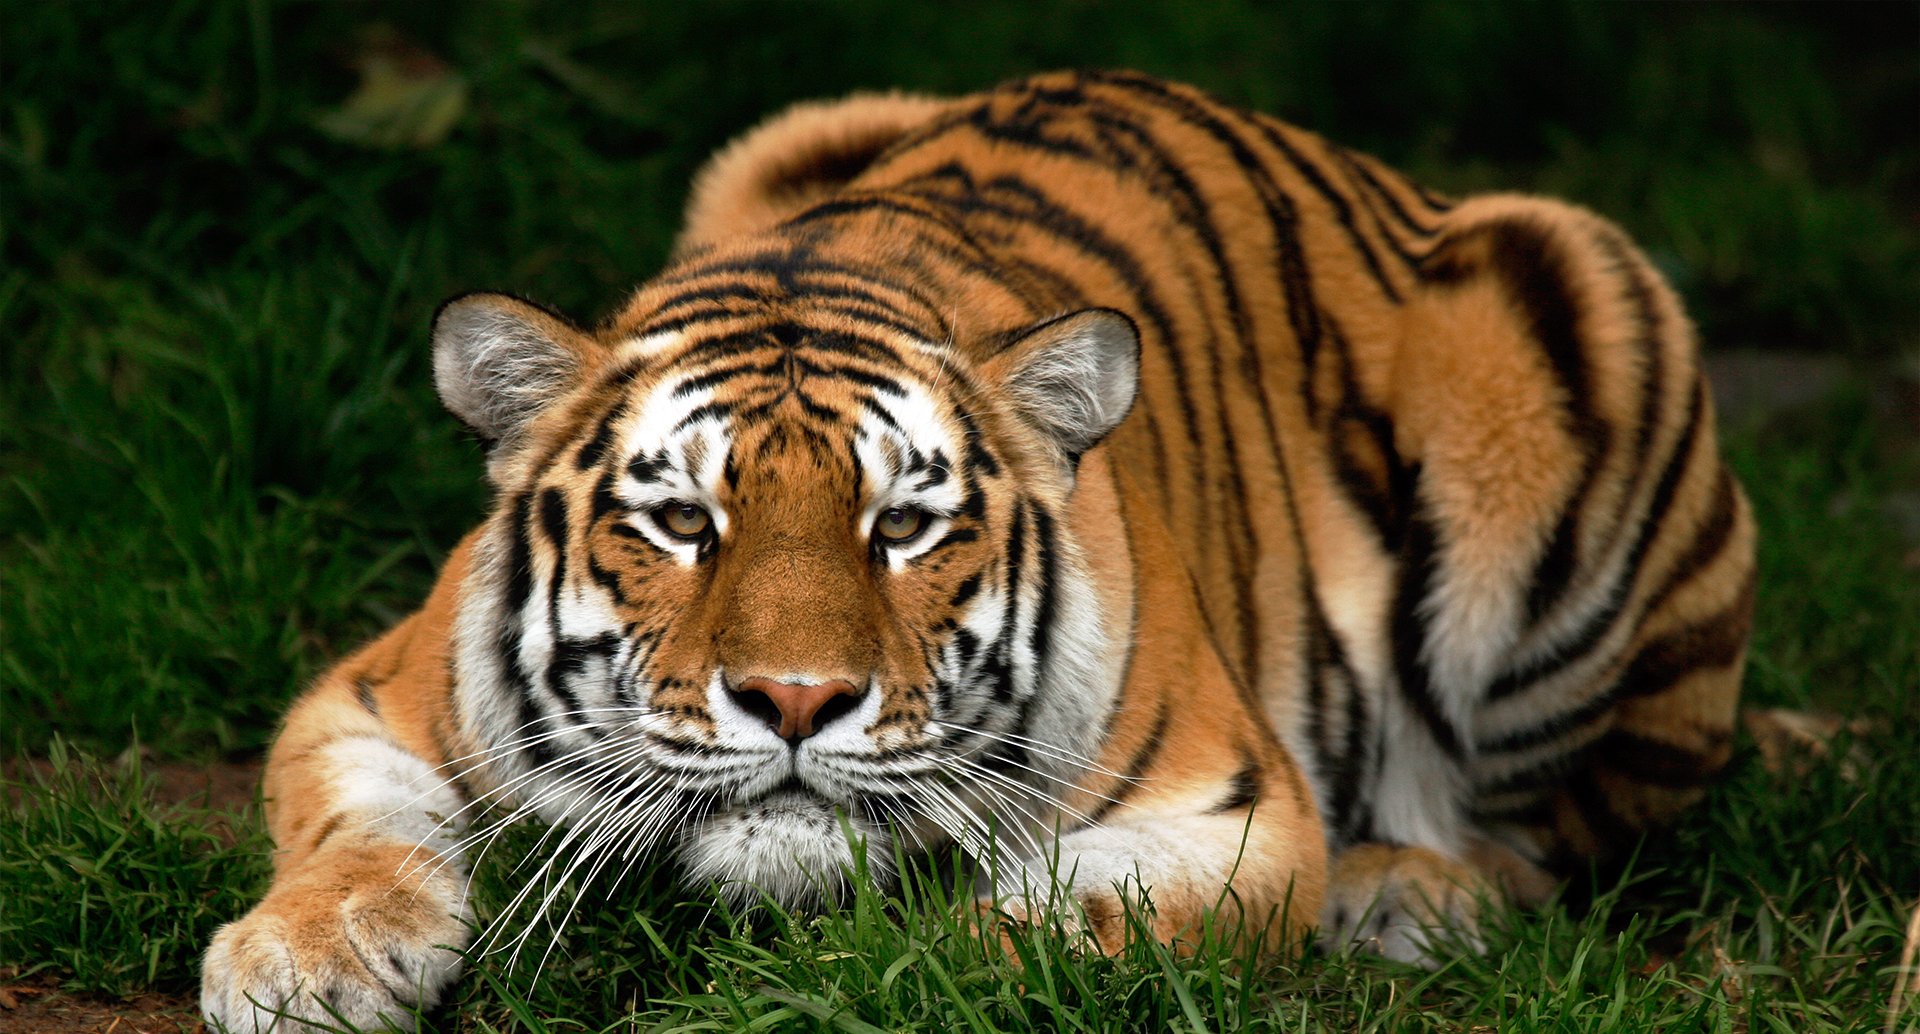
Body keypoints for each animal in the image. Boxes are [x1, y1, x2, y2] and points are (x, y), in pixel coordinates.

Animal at [200, 70, 1755, 1032]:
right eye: (684, 522)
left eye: (903, 524)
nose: (797, 701)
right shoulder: (370, 693)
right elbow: (354, 827)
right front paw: (300, 959)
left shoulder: (1230, 810)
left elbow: (1035, 931)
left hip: (1578, 322)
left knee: (1566, 833)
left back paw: (1407, 890)